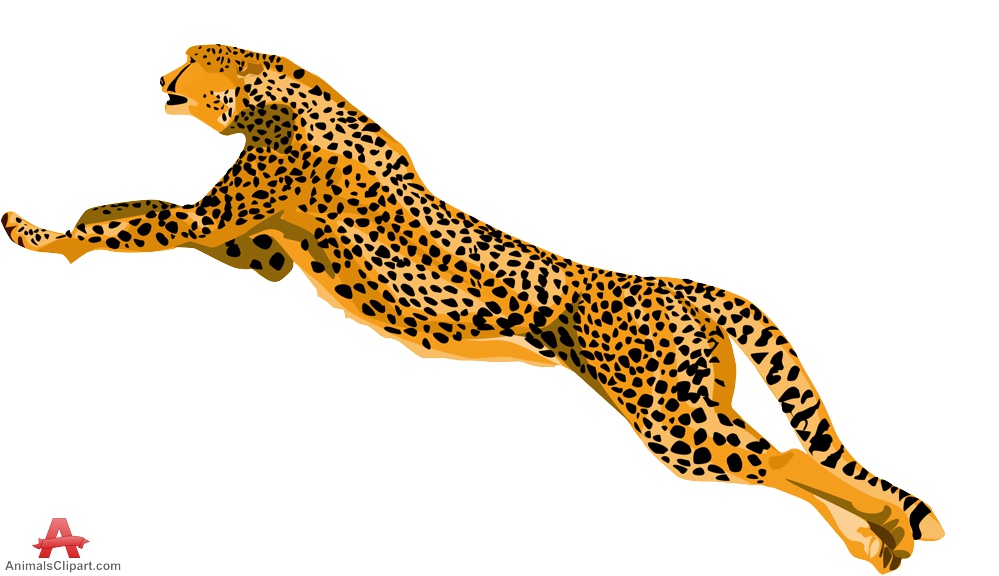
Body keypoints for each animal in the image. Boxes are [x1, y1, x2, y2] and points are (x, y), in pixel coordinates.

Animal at [3, 44, 944, 573]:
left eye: (194, 60)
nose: (161, 76)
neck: (275, 94)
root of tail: (682, 284)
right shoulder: (257, 250)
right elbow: (130, 209)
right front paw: (86, 212)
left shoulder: (222, 222)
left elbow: (135, 224)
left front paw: (36, 230)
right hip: (694, 407)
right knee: (786, 461)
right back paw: (879, 540)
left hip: (672, 422)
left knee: (790, 459)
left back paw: (887, 527)